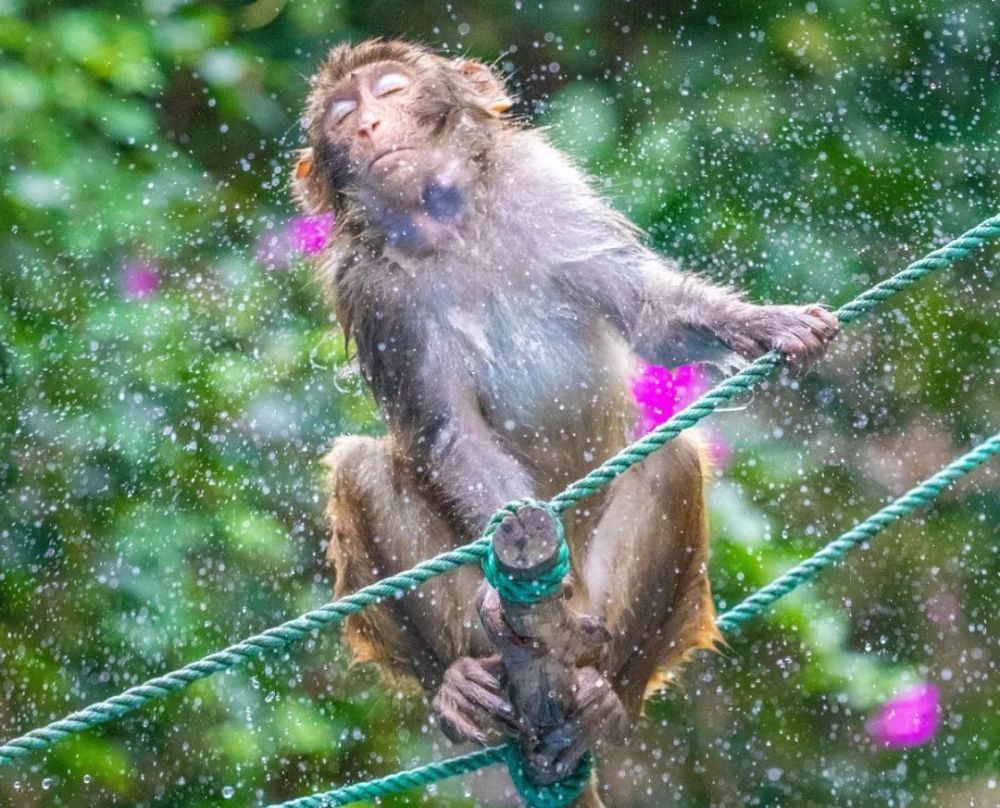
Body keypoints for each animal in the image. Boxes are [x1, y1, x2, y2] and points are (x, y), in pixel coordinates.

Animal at [292, 41, 840, 804]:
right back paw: (459, 683)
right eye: (345, 116)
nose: (371, 126)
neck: (453, 228)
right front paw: (525, 557)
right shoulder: (370, 287)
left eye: (391, 91)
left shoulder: (545, 187)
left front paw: (764, 323)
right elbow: (448, 430)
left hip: (604, 614)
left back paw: (608, 698)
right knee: (360, 466)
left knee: (672, 463)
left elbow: (647, 310)